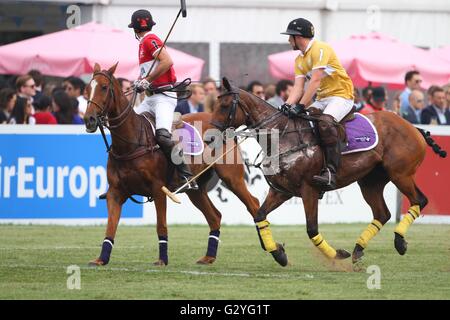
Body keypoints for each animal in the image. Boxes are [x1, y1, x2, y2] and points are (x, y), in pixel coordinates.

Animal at [82, 63, 258, 266]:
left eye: (104, 87)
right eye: (87, 89)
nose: (89, 120)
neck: (130, 143)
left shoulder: (159, 190)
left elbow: (161, 225)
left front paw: (162, 259)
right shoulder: (115, 193)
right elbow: (110, 227)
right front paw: (101, 259)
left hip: (232, 177)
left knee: (253, 204)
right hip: (196, 189)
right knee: (215, 216)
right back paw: (208, 257)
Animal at [210, 77, 446, 268]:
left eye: (224, 105)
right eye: (214, 103)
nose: (210, 137)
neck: (283, 136)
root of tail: (413, 127)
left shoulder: (309, 189)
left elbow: (312, 229)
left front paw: (337, 255)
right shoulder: (282, 191)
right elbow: (259, 216)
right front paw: (278, 253)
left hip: (400, 174)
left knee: (419, 200)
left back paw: (399, 241)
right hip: (370, 181)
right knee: (382, 213)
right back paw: (359, 249)